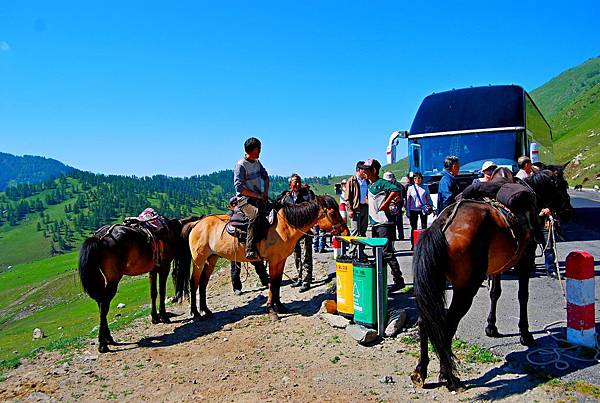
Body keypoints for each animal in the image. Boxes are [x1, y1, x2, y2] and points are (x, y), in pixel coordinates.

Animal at [78, 216, 197, 352]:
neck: (171, 230)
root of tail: (99, 238)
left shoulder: (153, 269)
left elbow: (153, 293)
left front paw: (155, 318)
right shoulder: (164, 266)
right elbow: (162, 291)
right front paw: (163, 316)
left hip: (102, 280)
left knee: (100, 304)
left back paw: (108, 339)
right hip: (113, 280)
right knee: (104, 306)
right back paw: (103, 344)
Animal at [172, 196, 352, 322]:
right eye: (333, 212)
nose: (346, 232)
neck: (286, 225)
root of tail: (197, 223)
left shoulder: (280, 260)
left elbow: (277, 283)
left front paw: (280, 306)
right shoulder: (273, 260)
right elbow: (272, 284)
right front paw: (272, 311)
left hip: (212, 258)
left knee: (203, 283)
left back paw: (207, 311)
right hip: (199, 259)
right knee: (194, 282)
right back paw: (196, 313)